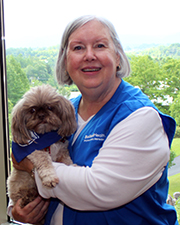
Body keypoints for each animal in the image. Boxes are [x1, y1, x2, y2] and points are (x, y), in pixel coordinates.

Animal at [6, 84, 76, 223]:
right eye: (32, 110)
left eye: (49, 107)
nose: (42, 115)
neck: (45, 135)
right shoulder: (34, 151)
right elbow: (45, 160)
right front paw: (50, 177)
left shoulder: (62, 151)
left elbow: (67, 161)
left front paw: (74, 166)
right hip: (17, 186)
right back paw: (29, 197)